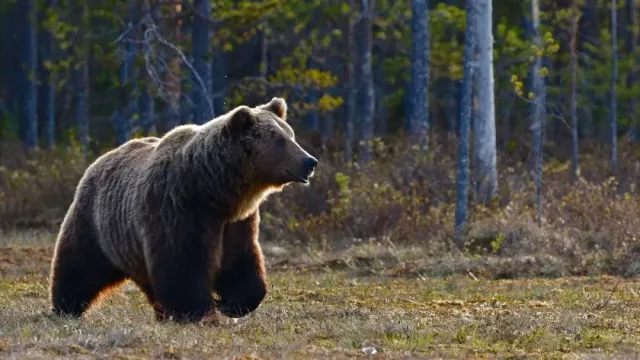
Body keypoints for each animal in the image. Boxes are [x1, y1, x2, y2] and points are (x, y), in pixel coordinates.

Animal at [47, 97, 318, 322]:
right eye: (280, 141)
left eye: (291, 136)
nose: (310, 161)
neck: (214, 191)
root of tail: (101, 158)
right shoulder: (178, 208)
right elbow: (183, 265)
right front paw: (197, 311)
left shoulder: (236, 222)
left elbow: (241, 261)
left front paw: (231, 304)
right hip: (96, 222)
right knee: (79, 265)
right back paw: (65, 307)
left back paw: (160, 312)